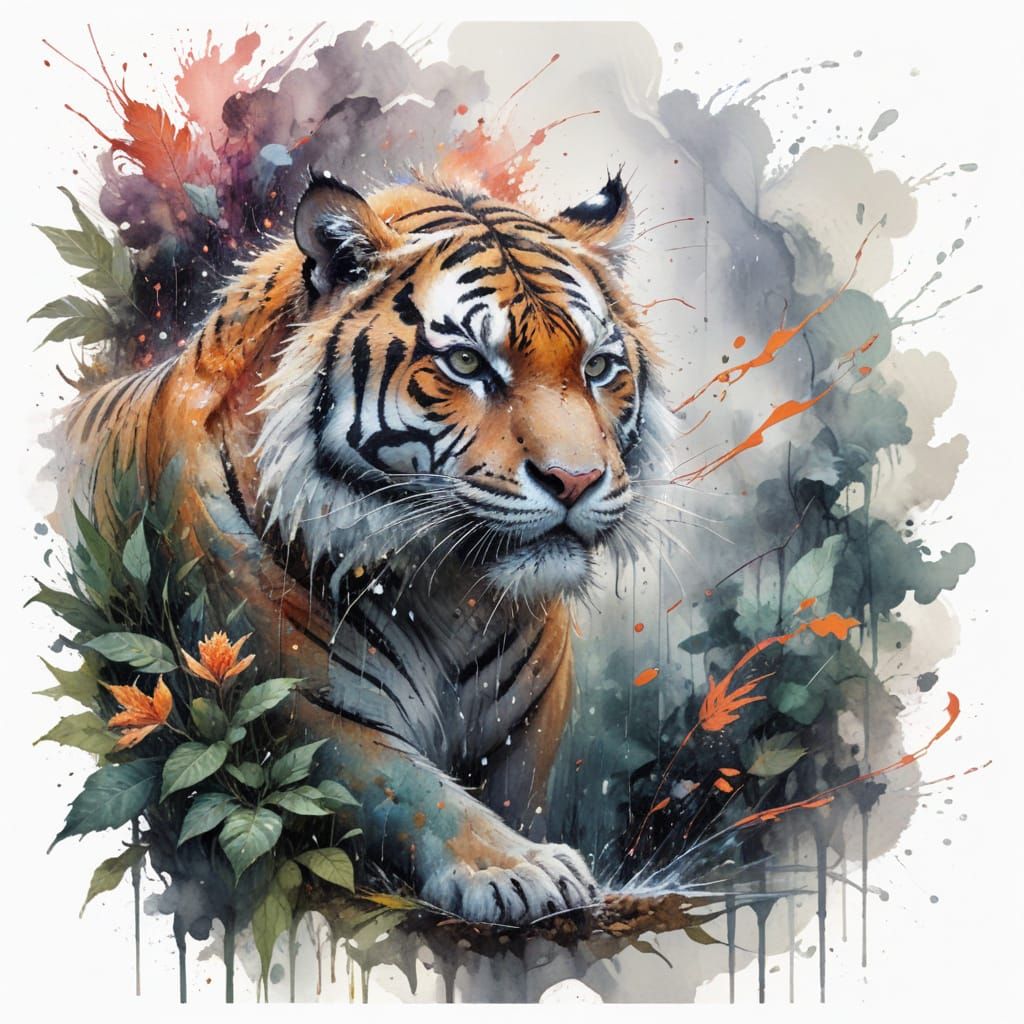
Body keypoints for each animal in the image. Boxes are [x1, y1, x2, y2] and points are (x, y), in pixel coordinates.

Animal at [53, 170, 673, 924]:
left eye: (599, 366)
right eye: (466, 362)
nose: (576, 480)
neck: (456, 591)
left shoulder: (526, 729)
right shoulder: (302, 703)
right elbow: (415, 790)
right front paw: (520, 869)